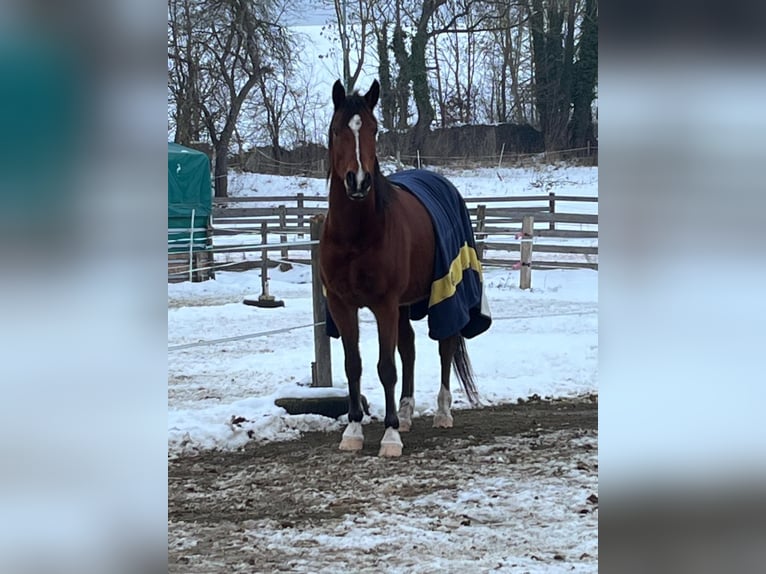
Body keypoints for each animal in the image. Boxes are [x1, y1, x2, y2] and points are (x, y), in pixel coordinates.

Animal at [320, 79, 491, 457]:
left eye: (373, 128)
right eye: (337, 129)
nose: (358, 181)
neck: (356, 234)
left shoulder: (384, 303)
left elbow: (386, 367)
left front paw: (390, 436)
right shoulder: (342, 305)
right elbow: (354, 366)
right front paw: (353, 431)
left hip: (443, 294)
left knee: (444, 345)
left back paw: (441, 412)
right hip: (404, 305)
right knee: (409, 347)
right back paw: (407, 413)